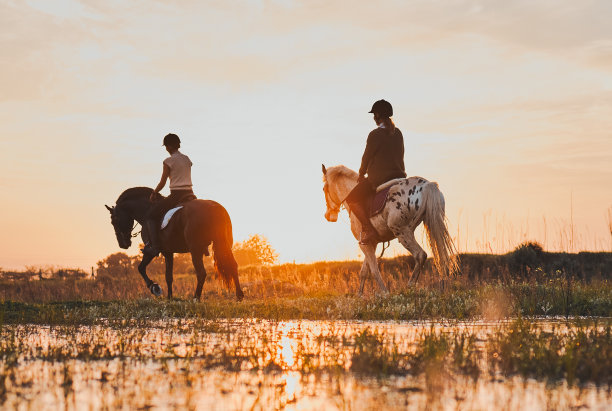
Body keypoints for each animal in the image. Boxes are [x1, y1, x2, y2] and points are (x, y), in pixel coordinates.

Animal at [106, 188, 243, 300]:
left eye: (114, 221)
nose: (123, 244)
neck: (146, 211)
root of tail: (214, 207)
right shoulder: (168, 252)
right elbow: (169, 276)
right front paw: (169, 297)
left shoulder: (152, 251)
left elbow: (141, 268)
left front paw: (155, 287)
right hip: (224, 245)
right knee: (233, 266)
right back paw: (239, 295)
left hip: (195, 249)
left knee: (201, 273)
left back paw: (196, 298)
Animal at [322, 166, 456, 294]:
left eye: (324, 189)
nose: (328, 216)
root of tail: (428, 184)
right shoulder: (372, 243)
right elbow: (364, 272)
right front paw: (359, 296)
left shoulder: (364, 244)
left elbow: (374, 271)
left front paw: (385, 293)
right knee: (442, 257)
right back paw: (441, 288)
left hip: (402, 232)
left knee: (420, 255)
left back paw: (409, 287)